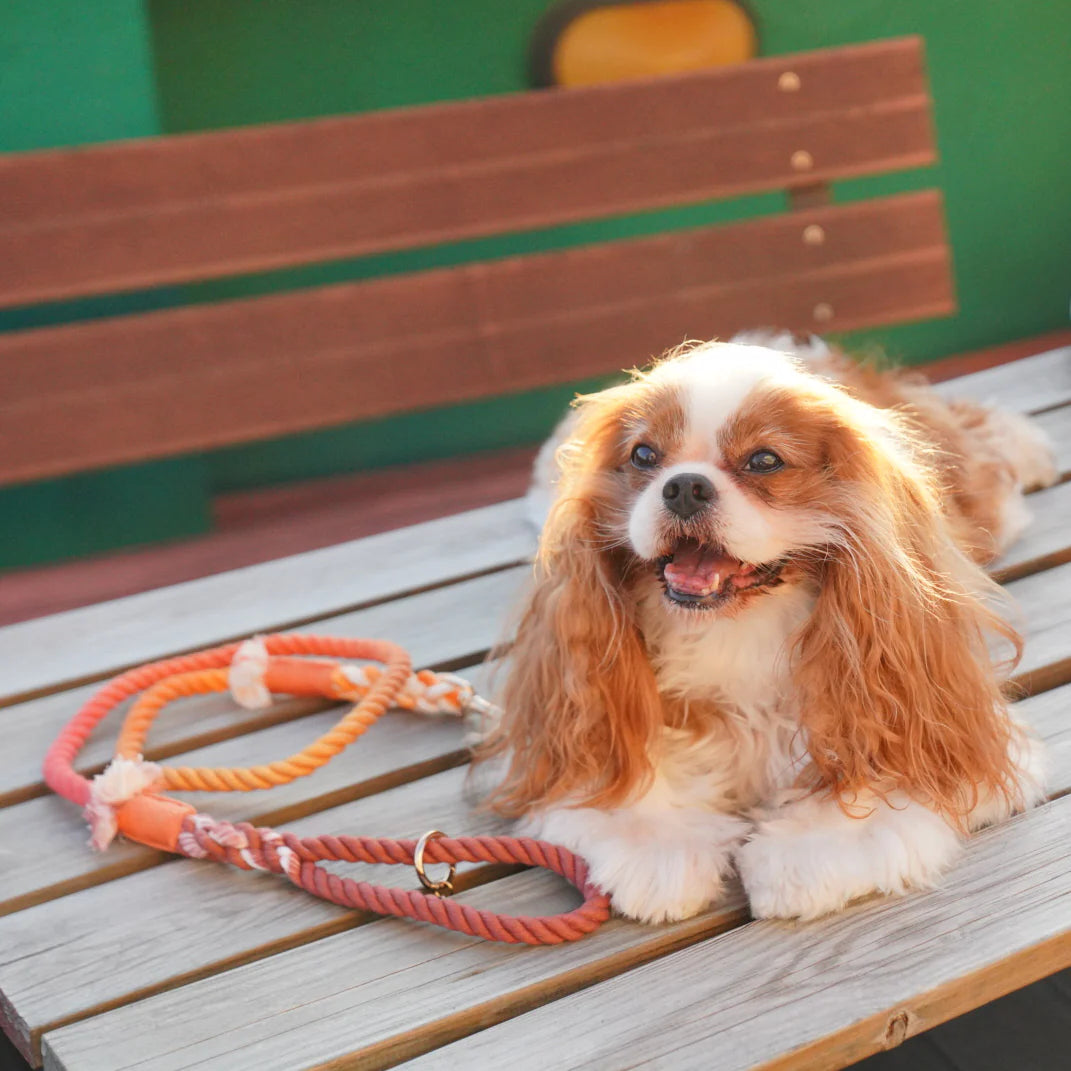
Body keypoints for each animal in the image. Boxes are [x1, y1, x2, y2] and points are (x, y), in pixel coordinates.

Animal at [475, 332, 1053, 921]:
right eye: (643, 455)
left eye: (764, 460)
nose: (684, 486)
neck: (735, 627)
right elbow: (618, 772)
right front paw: (656, 844)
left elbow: (879, 773)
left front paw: (806, 851)